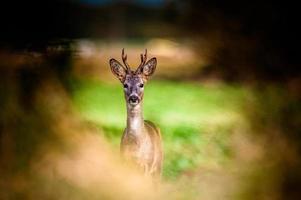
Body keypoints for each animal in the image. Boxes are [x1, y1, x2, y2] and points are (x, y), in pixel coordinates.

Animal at [109, 49, 163, 177]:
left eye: (141, 84)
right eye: (125, 85)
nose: (133, 98)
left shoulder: (147, 165)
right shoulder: (123, 163)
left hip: (158, 166)